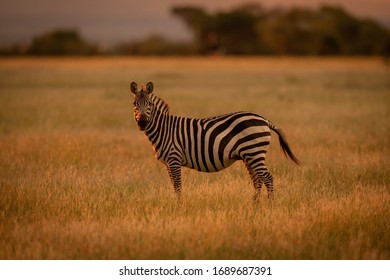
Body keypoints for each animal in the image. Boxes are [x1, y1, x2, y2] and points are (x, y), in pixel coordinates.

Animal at [130, 81, 298, 201]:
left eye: (150, 104)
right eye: (134, 104)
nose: (142, 123)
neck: (164, 129)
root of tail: (264, 119)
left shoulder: (174, 159)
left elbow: (178, 186)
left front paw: (179, 206)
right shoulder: (168, 163)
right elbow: (174, 186)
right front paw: (177, 205)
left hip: (254, 152)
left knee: (268, 178)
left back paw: (270, 205)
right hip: (250, 156)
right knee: (257, 180)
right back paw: (254, 207)